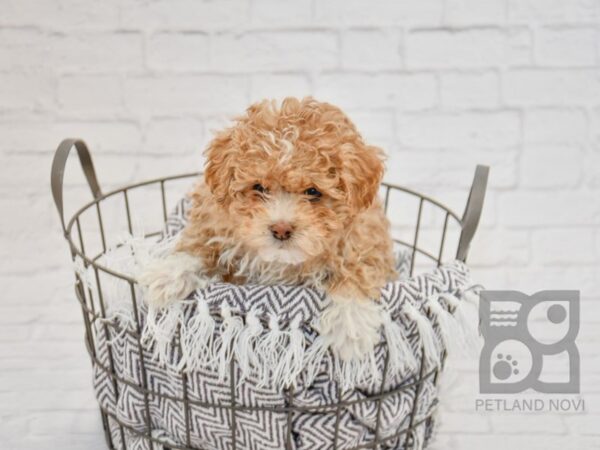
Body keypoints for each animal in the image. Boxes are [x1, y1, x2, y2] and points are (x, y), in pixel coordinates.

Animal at [138, 96, 396, 360]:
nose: (281, 229)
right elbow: (199, 246)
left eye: (313, 191)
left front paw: (351, 323)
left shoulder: (366, 238)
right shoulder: (215, 222)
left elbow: (357, 270)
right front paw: (167, 274)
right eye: (259, 187)